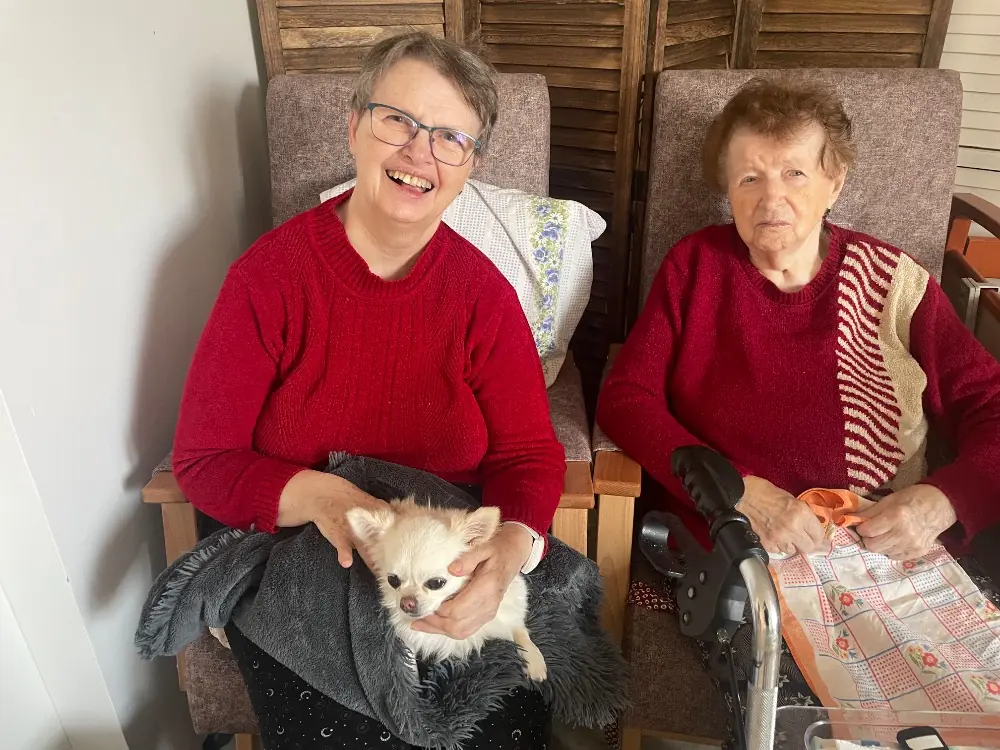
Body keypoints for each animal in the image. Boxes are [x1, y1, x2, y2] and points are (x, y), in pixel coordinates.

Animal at [347, 497, 546, 681]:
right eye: (393, 580)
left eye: (436, 583)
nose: (406, 603)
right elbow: (408, 661)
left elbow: (518, 628)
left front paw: (533, 659)